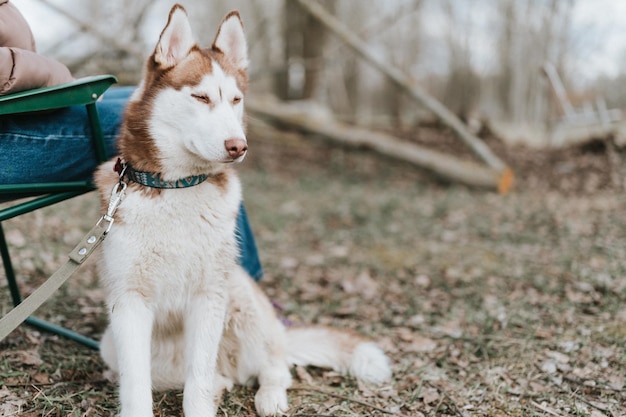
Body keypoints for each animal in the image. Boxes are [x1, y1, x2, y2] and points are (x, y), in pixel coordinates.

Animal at [95, 4, 390, 416]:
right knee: (203, 376)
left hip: (239, 295)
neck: (177, 187)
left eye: (235, 100)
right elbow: (137, 383)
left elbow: (198, 380)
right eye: (201, 97)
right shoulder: (128, 301)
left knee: (273, 367)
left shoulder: (209, 296)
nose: (239, 146)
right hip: (111, 343)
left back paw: (270, 397)